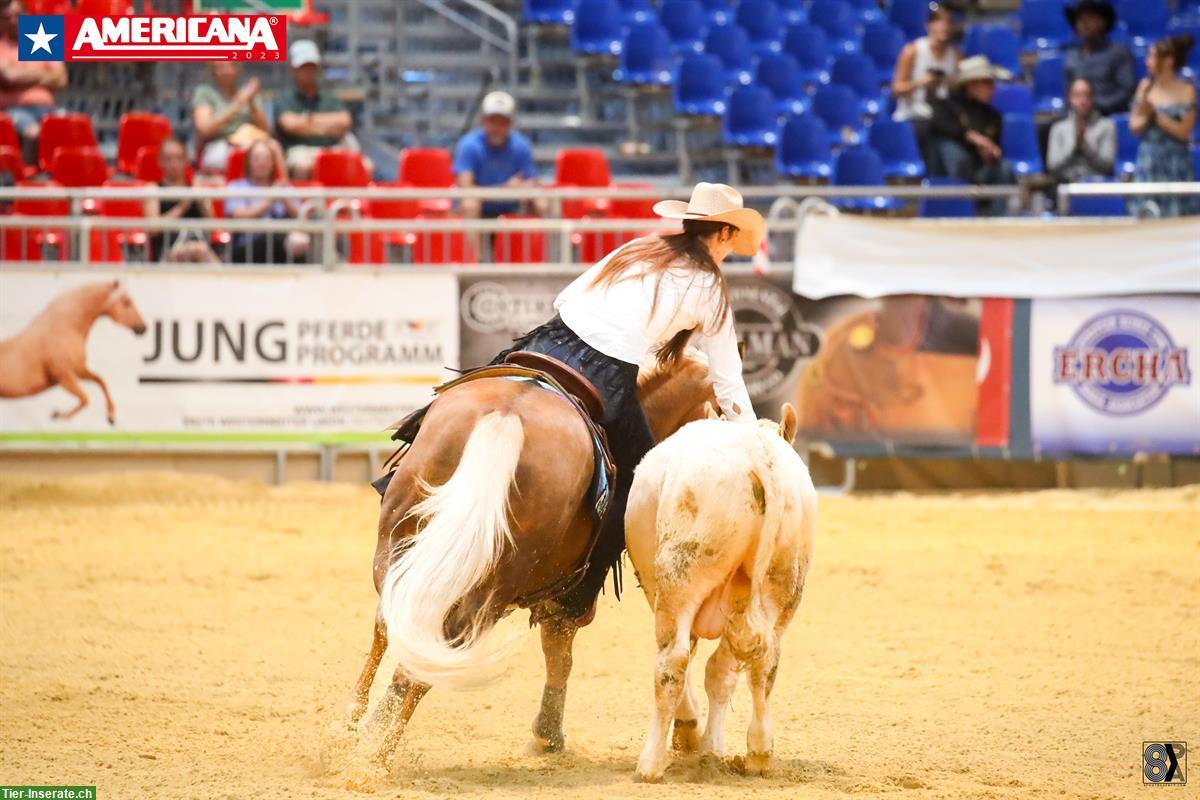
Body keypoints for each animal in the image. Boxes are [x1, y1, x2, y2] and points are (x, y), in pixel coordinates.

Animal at [0, 278, 147, 422]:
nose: (144, 328)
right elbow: (85, 399)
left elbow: (100, 381)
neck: (63, 329)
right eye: (126, 302)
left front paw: (111, 415)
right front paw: (59, 415)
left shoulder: (79, 370)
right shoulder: (65, 377)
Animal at [348, 350, 715, 762]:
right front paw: (548, 734)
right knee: (432, 655)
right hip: (491, 591)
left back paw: (352, 728)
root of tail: (508, 416)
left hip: (402, 543)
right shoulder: (573, 593)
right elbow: (560, 650)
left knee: (392, 625)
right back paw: (377, 751)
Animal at [624, 400, 820, 782]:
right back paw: (759, 750)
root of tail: (759, 455)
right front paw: (711, 749)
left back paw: (650, 762)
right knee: (763, 662)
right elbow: (722, 673)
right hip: (783, 586)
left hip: (680, 578)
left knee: (672, 663)